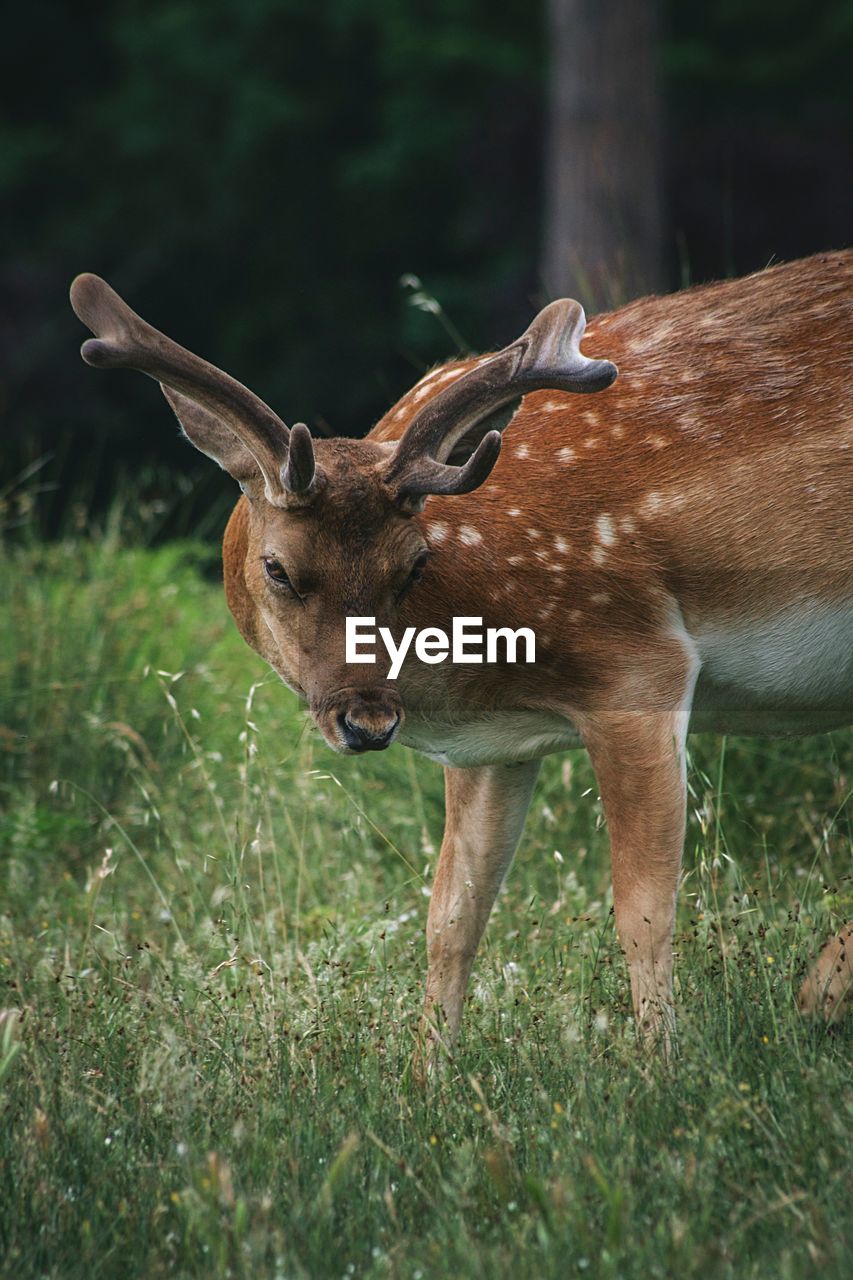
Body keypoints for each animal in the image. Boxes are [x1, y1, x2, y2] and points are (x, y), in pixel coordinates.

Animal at [71, 252, 850, 1059]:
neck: (472, 677)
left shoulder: (638, 665)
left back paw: (813, 998)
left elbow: (643, 911)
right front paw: (428, 1073)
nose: (369, 722)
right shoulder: (495, 746)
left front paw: (660, 1066)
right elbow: (451, 917)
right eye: (278, 568)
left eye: (413, 563)